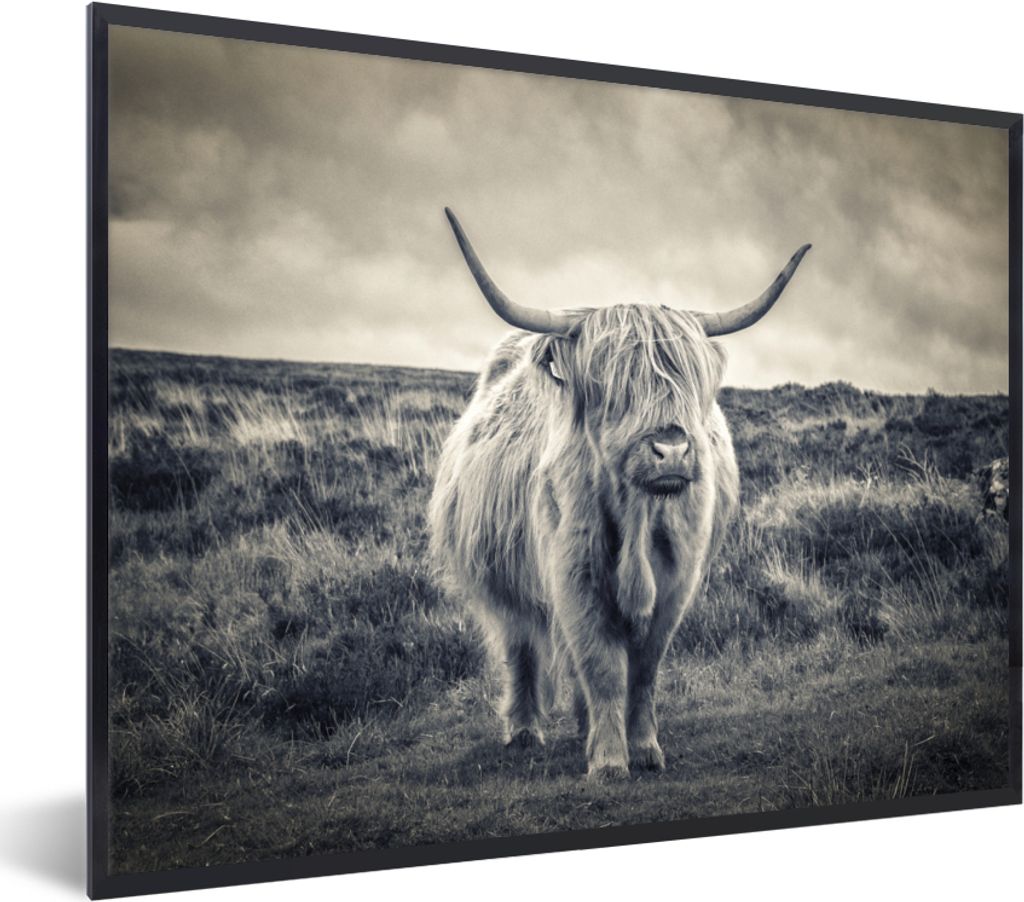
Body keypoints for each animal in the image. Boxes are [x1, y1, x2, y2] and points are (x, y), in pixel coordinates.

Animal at [429, 209, 811, 780]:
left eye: (689, 380)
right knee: (521, 646)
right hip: (502, 577)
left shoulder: (677, 581)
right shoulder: (574, 575)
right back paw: (524, 731)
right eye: (613, 385)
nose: (671, 450)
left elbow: (644, 669)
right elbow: (602, 664)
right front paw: (609, 761)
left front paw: (645, 748)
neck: (637, 517)